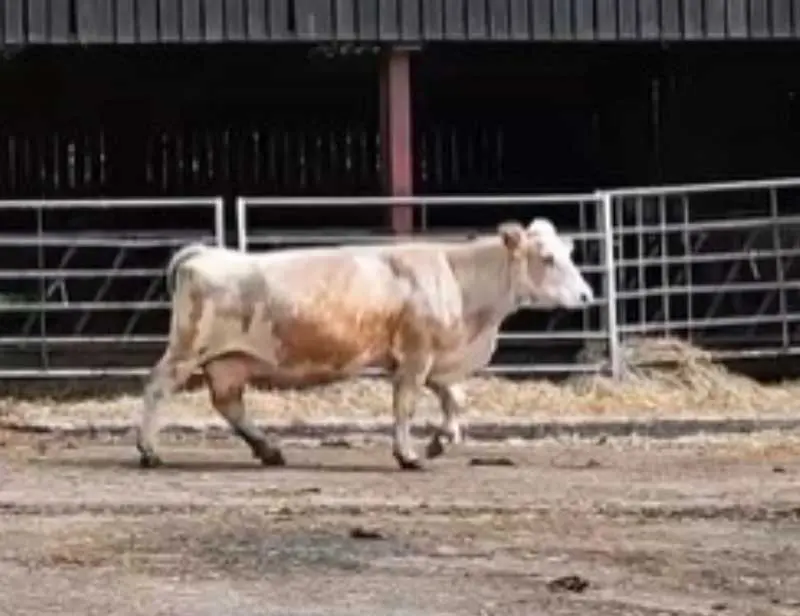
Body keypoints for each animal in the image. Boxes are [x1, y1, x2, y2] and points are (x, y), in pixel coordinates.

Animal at [136, 218, 594, 470]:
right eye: (548, 258)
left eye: (568, 253)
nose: (588, 295)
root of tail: (204, 253)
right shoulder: (415, 355)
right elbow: (405, 406)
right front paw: (408, 455)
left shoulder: (436, 360)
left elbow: (456, 400)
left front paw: (440, 441)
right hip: (187, 348)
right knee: (156, 387)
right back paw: (149, 451)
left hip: (228, 361)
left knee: (229, 403)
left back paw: (268, 449)